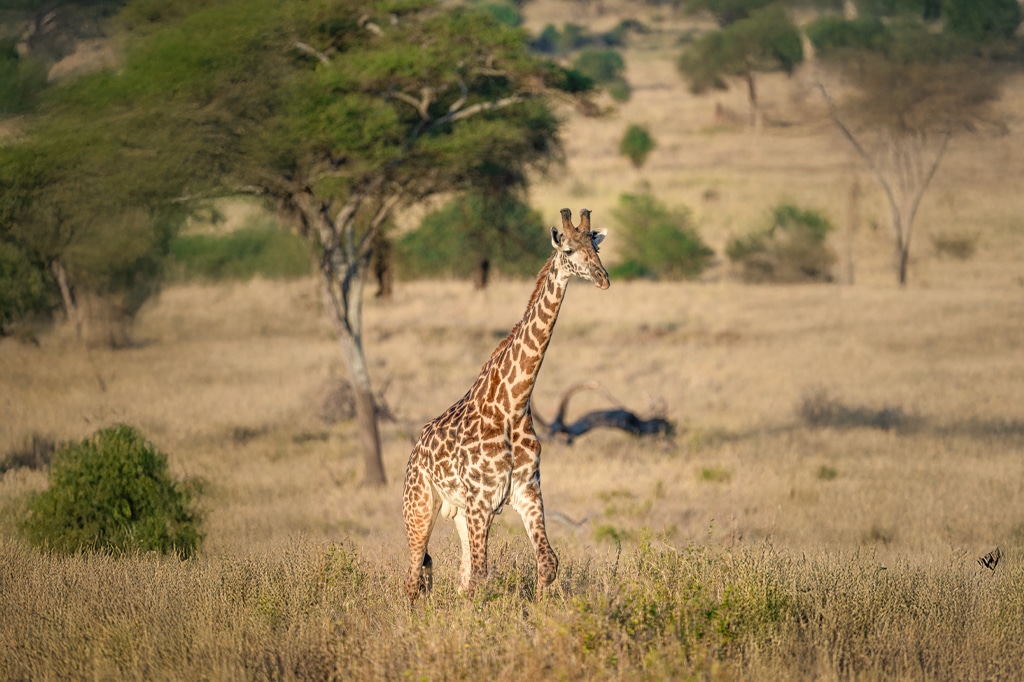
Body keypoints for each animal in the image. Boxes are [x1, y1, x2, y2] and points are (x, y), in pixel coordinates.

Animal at [402, 208, 609, 603]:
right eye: (569, 250)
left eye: (597, 247)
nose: (603, 279)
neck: (512, 405)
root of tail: (415, 451)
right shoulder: (482, 499)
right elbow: (482, 577)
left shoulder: (527, 490)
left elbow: (547, 563)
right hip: (419, 507)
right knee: (414, 575)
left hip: (458, 512)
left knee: (458, 574)